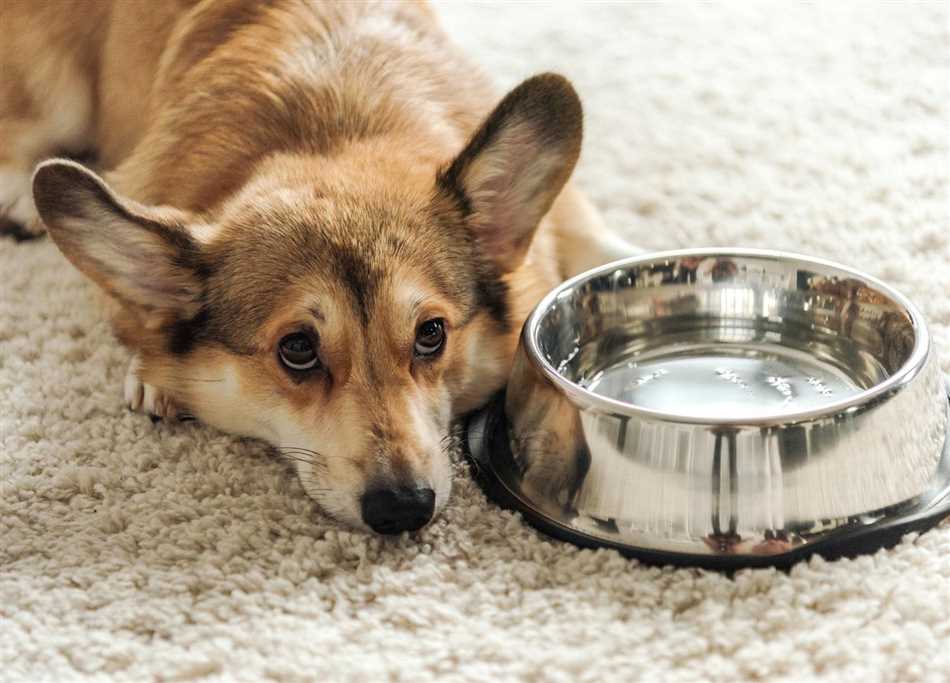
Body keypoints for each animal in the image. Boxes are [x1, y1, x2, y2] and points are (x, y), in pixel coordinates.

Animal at [3, 0, 640, 536]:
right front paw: (151, 371)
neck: (333, 135)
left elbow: (598, 240)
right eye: (298, 350)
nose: (404, 508)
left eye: (431, 334)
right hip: (59, 98)